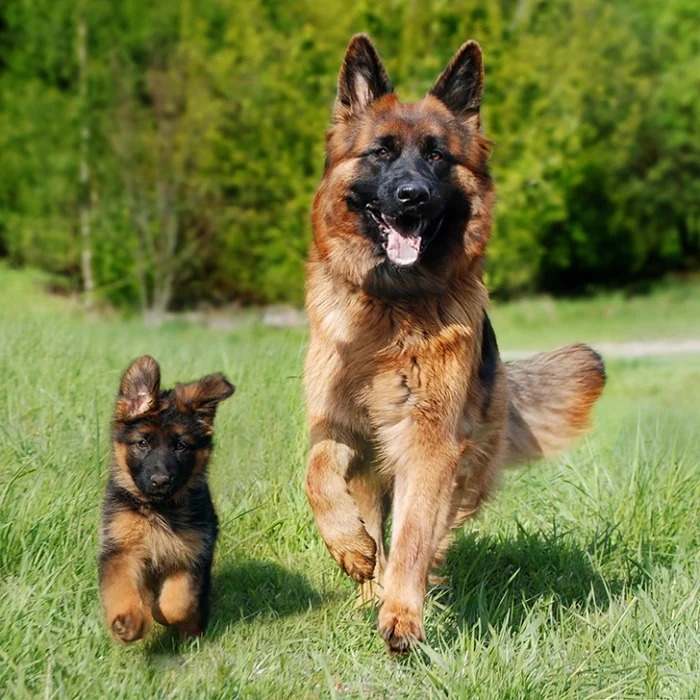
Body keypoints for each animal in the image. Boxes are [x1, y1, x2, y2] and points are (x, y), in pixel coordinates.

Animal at [99, 358, 235, 644]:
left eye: (180, 446)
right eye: (142, 443)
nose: (160, 481)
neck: (158, 510)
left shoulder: (192, 554)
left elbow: (178, 602)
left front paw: (160, 614)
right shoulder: (121, 549)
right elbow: (122, 589)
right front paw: (129, 622)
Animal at [304, 35, 604, 652]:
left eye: (438, 157)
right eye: (381, 153)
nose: (412, 197)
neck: (391, 308)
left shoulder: (430, 441)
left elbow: (415, 532)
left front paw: (402, 614)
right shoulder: (337, 424)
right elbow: (317, 475)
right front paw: (350, 549)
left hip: (465, 464)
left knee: (432, 528)